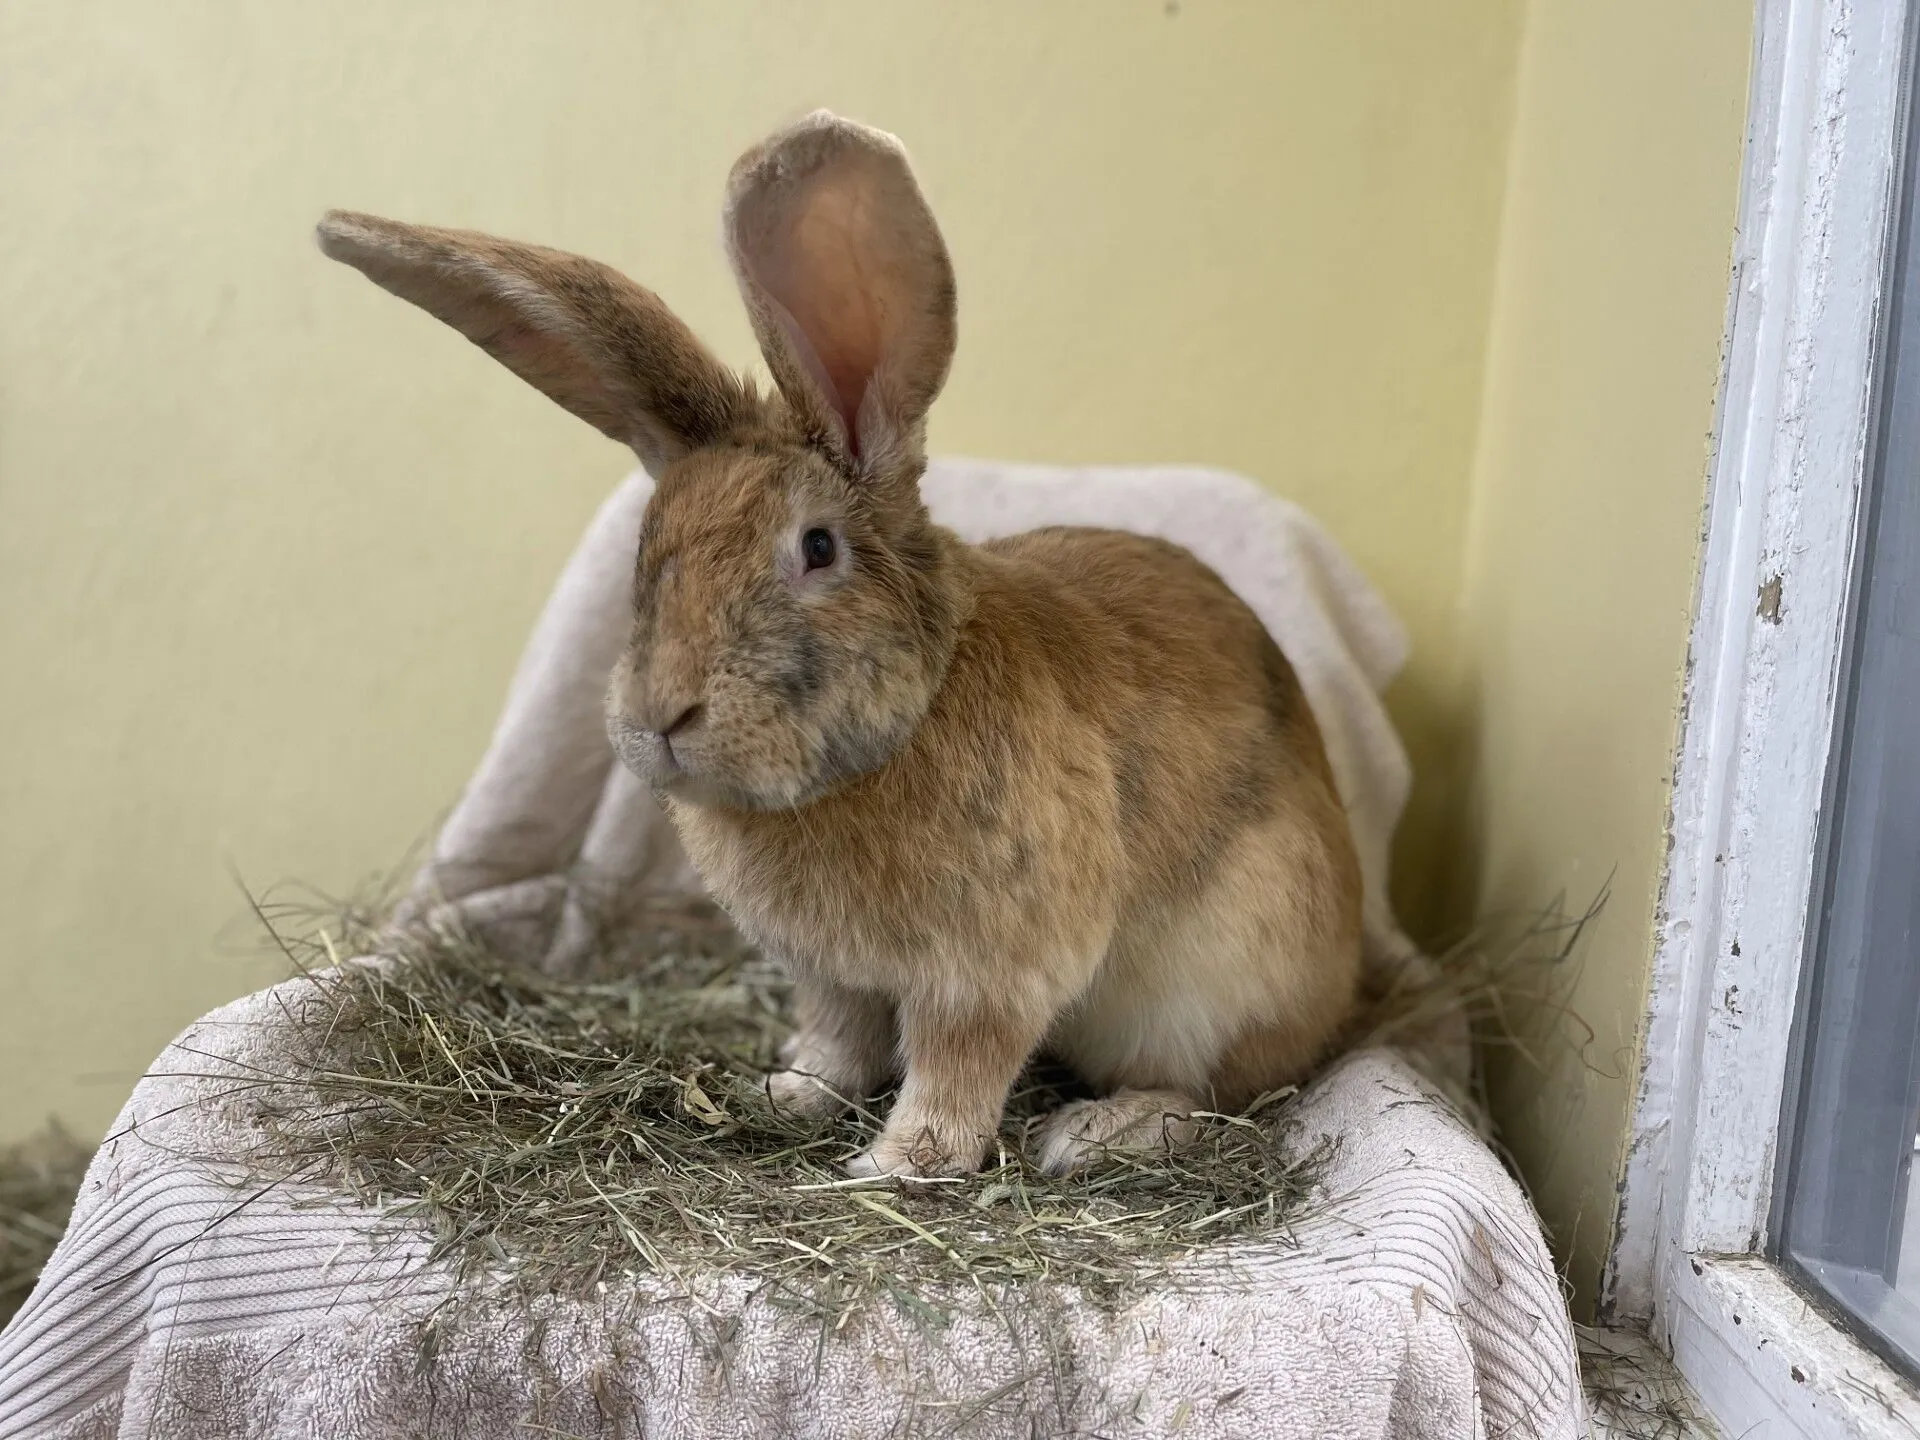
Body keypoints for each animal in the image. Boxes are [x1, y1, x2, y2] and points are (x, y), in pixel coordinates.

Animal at [316, 110, 1364, 1179]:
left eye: (817, 548)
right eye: (649, 550)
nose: (661, 716)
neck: (902, 725)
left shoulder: (988, 971)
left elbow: (955, 1069)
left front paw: (896, 1165)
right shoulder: (832, 972)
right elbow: (840, 1038)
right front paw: (790, 1093)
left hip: (1220, 981)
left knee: (1219, 1094)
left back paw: (1099, 1131)